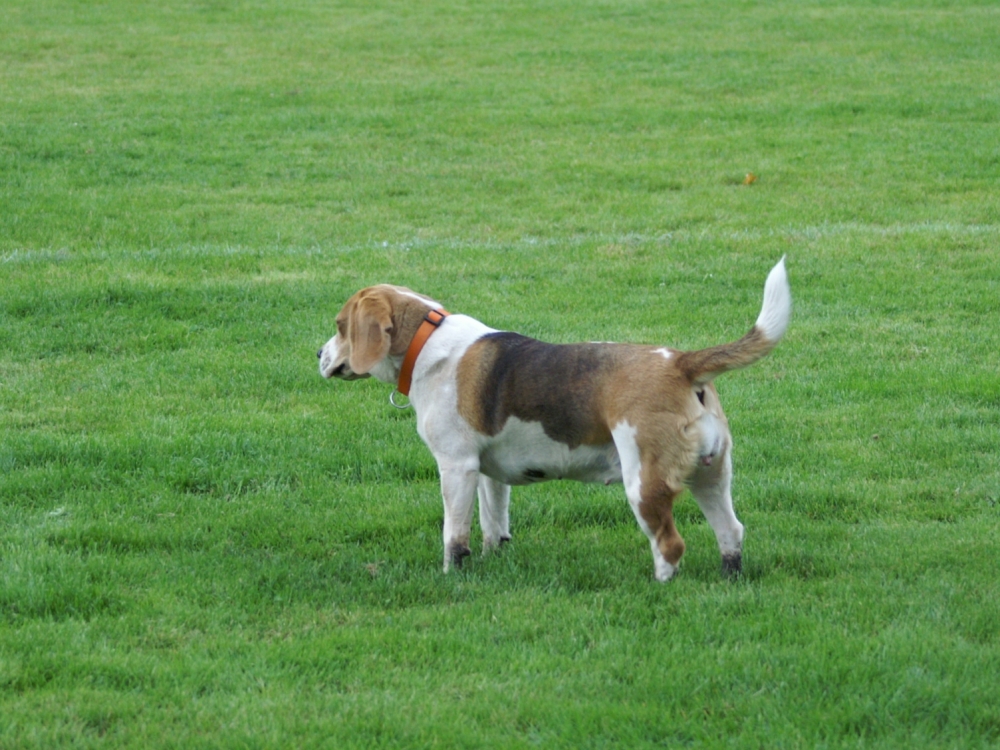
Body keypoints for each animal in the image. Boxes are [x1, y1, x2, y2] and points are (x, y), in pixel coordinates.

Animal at [318, 262, 788, 584]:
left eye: (340, 327)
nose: (318, 354)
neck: (426, 341)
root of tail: (681, 363)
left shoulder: (456, 467)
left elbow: (454, 535)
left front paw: (452, 575)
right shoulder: (488, 472)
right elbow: (494, 523)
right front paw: (493, 558)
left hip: (644, 484)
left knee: (670, 546)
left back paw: (660, 586)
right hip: (712, 477)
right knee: (731, 531)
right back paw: (729, 578)